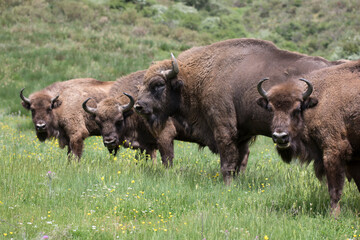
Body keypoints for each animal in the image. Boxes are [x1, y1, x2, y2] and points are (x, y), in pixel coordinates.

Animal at [135, 38, 346, 184]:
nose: (138, 106)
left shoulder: (223, 128)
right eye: (143, 83)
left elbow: (227, 160)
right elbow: (238, 161)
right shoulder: (242, 135)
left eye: (158, 84)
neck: (200, 77)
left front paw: (226, 185)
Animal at [256, 60, 360, 216]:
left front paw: (334, 216)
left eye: (297, 109)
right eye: (271, 109)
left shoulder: (333, 151)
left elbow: (334, 189)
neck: (316, 103)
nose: (280, 137)